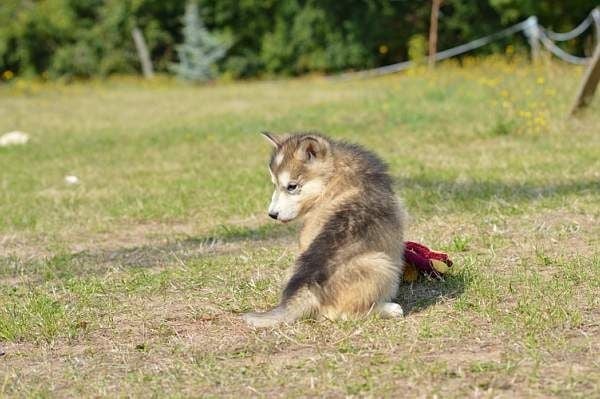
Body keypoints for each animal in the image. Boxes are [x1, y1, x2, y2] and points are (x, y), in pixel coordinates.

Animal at [241, 132, 406, 328]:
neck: (334, 175)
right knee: (343, 314)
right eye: (275, 184)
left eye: (291, 186)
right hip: (380, 264)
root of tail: (306, 285)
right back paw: (388, 309)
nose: (272, 214)